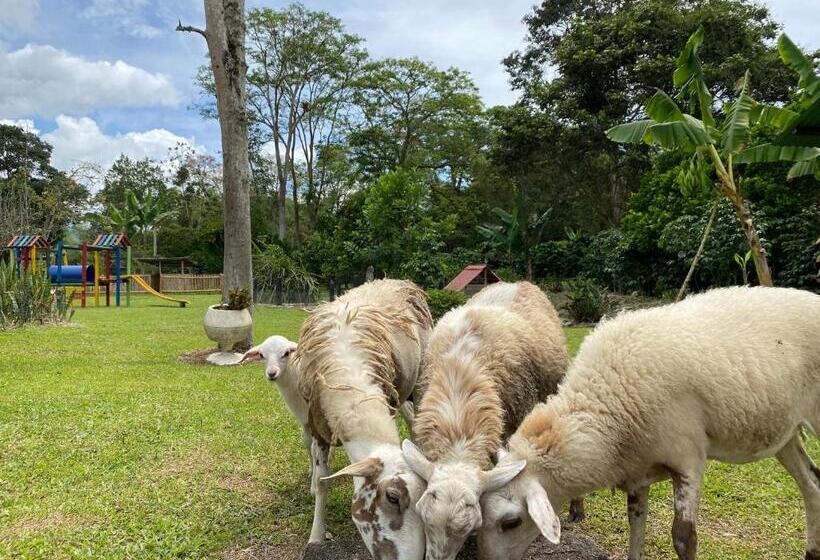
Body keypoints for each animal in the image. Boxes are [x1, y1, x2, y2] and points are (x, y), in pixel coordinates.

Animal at [478, 286, 816, 560]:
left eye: (511, 522)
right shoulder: (638, 469)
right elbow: (635, 527)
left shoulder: (688, 459)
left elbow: (684, 539)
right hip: (784, 433)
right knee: (812, 483)